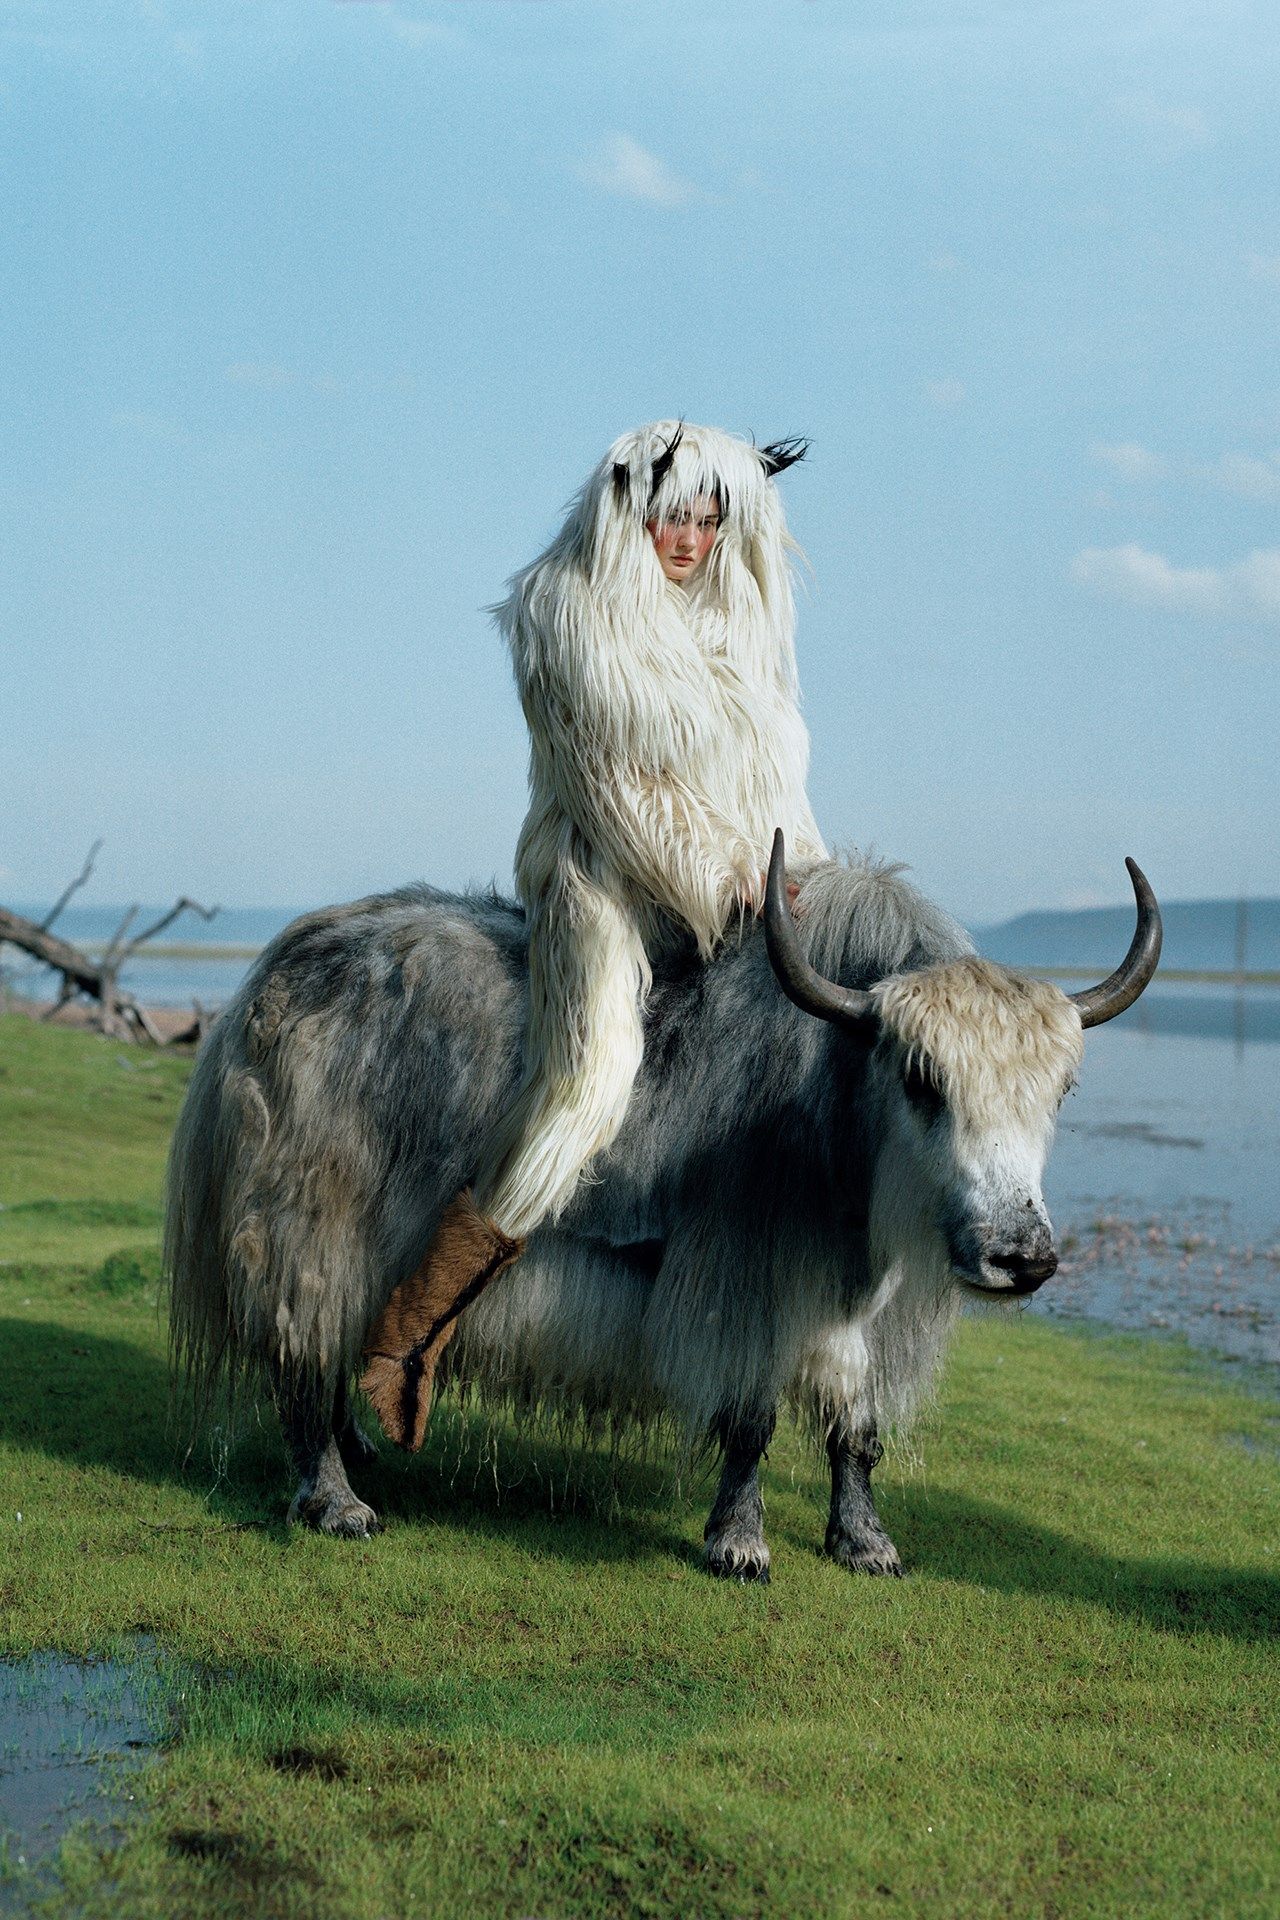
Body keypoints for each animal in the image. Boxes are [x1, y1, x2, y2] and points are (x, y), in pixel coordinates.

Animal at [165, 833, 1160, 1580]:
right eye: (922, 1080)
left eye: (1062, 1090)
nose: (1021, 1256)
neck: (837, 1105)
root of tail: (262, 988)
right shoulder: (741, 1282)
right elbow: (752, 1419)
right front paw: (740, 1547)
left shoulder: (850, 1310)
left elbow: (855, 1426)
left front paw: (866, 1544)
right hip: (309, 1226)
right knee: (297, 1358)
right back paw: (340, 1502)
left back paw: (362, 1447)